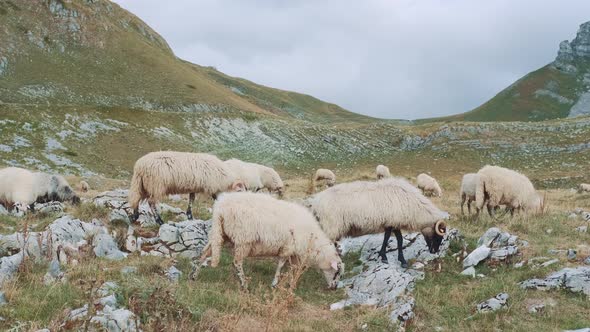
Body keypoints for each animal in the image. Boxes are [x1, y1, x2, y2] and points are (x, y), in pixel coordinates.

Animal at [192, 192, 344, 290]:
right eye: (337, 273)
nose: (334, 288)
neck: (313, 241)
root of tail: (220, 207)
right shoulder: (288, 247)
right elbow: (281, 265)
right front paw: (275, 283)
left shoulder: (294, 252)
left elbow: (293, 268)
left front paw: (292, 283)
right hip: (243, 240)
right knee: (237, 262)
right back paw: (244, 284)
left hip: (221, 234)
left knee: (204, 253)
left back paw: (193, 276)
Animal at [308, 178, 450, 268]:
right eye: (439, 236)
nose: (434, 252)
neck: (415, 207)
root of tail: (316, 202)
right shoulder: (393, 221)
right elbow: (397, 240)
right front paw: (398, 260)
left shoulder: (391, 222)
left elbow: (390, 239)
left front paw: (385, 256)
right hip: (331, 225)